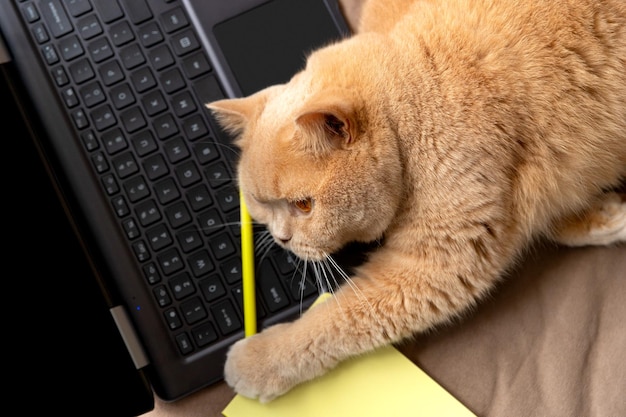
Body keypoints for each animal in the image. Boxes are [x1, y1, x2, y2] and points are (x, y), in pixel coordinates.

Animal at [207, 0, 620, 402]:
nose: (282, 239)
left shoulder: (441, 262)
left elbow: (336, 318)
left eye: (305, 205)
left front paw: (259, 360)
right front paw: (605, 216)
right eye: (260, 203)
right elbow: (550, 209)